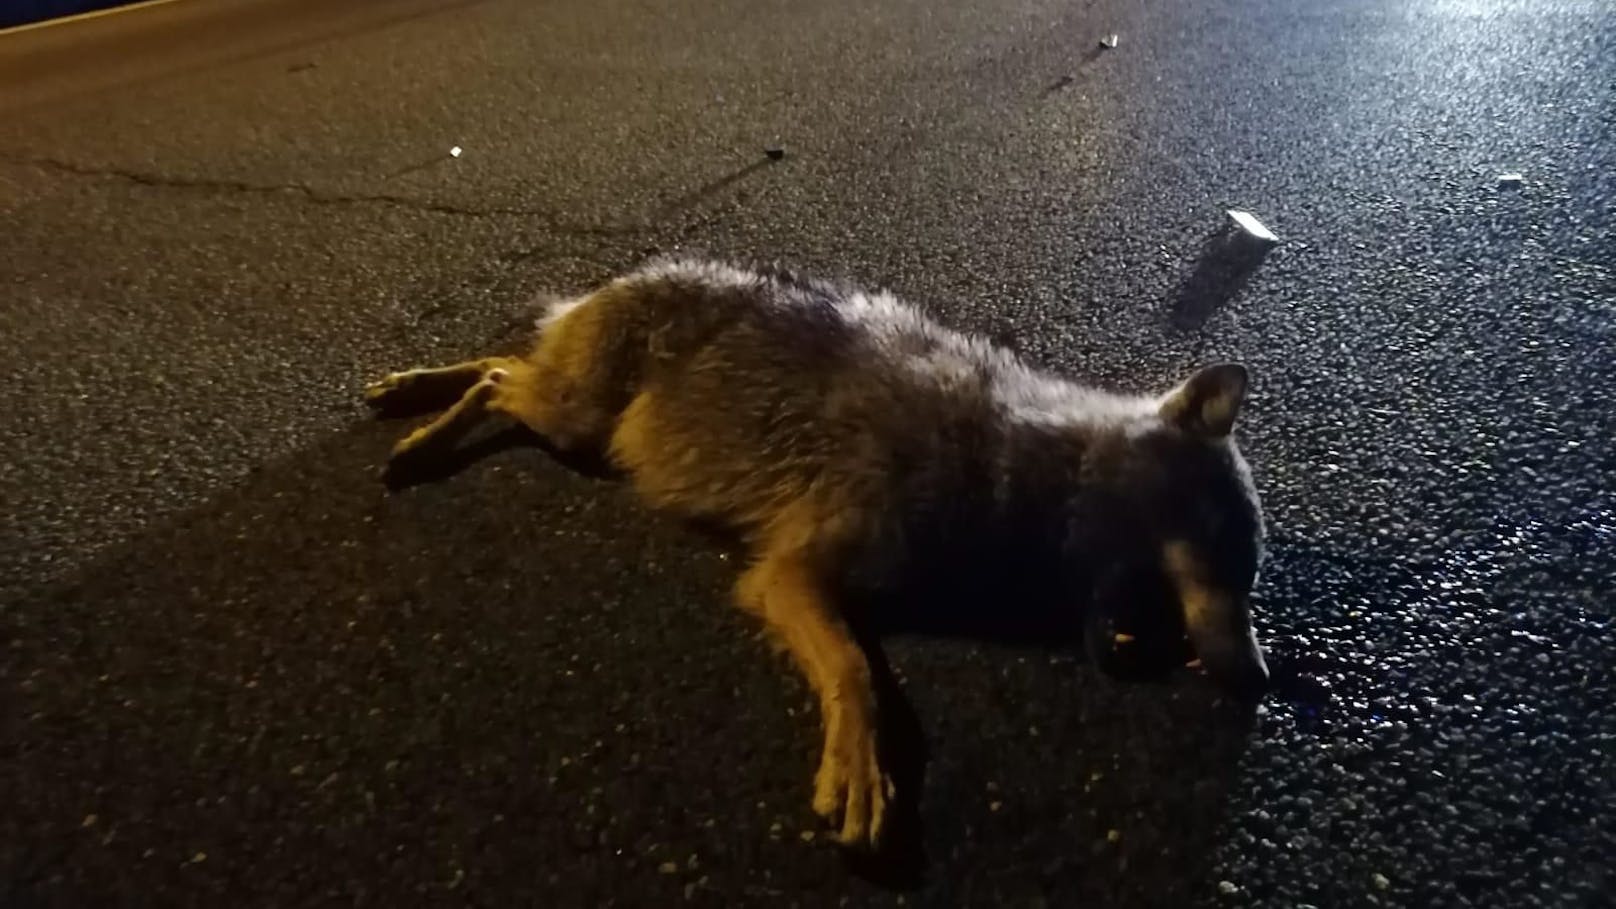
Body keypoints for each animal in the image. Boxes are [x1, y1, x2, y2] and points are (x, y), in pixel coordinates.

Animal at [366, 255, 1273, 847]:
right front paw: (862, 770)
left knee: (500, 363)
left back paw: (409, 391)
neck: (1021, 475)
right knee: (496, 378)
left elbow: (855, 666)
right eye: (1227, 548)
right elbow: (856, 671)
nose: (1265, 679)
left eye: (1248, 565)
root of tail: (619, 279)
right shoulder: (789, 571)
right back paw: (419, 432)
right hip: (578, 425)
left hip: (572, 419)